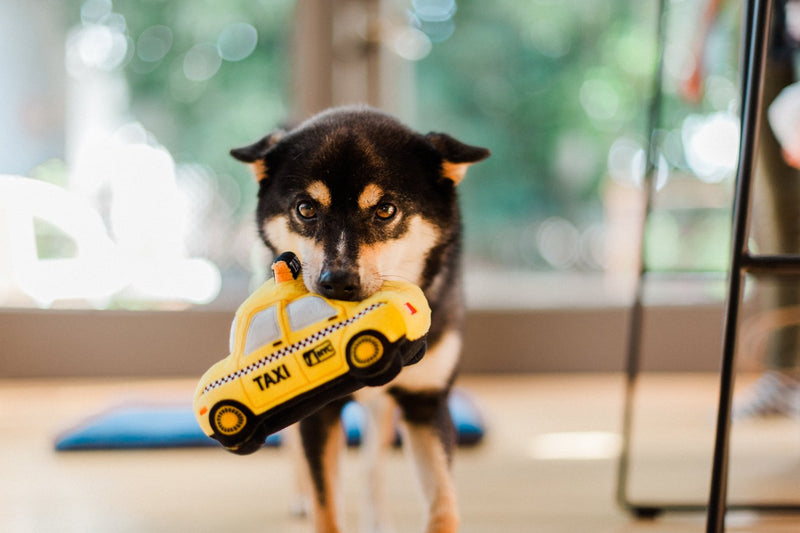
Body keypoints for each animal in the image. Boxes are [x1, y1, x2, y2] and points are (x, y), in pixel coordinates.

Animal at [230, 105, 488, 532]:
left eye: (385, 209)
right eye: (305, 209)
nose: (337, 281)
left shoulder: (426, 402)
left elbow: (443, 504)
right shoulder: (318, 413)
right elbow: (326, 505)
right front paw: (314, 500)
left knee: (373, 464)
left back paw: (377, 517)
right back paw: (299, 495)